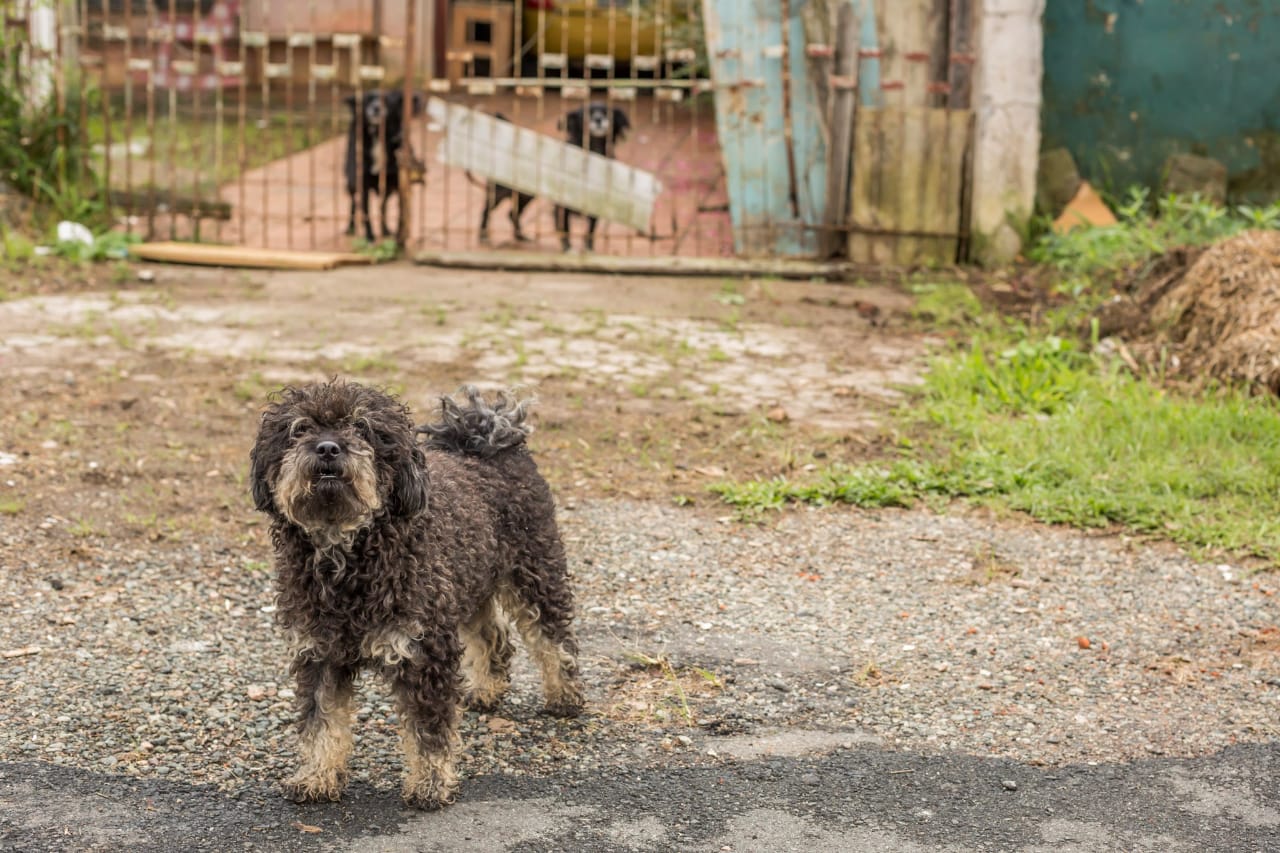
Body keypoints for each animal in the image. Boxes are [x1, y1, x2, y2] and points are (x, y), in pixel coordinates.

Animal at [245, 379, 586, 804]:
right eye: (300, 428)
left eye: (363, 428)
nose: (327, 448)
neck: (347, 559)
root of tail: (484, 438)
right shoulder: (318, 651)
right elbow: (321, 721)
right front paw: (317, 775)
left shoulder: (424, 650)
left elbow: (428, 730)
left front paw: (429, 783)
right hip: (468, 584)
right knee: (494, 636)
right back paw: (487, 689)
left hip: (534, 570)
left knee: (553, 638)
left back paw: (565, 696)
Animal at [343, 90, 427, 240]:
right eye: (367, 100)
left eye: (387, 100)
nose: (376, 108)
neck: (377, 135)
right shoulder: (363, 184)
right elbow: (366, 212)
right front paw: (369, 236)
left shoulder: (397, 183)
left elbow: (398, 211)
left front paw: (396, 236)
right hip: (352, 182)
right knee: (354, 202)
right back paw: (351, 227)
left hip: (388, 189)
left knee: (383, 207)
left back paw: (386, 230)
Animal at [555, 101, 629, 251]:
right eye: (587, 114)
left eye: (606, 112)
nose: (598, 119)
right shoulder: (563, 201)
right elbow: (565, 225)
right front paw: (567, 246)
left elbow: (591, 227)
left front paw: (589, 246)